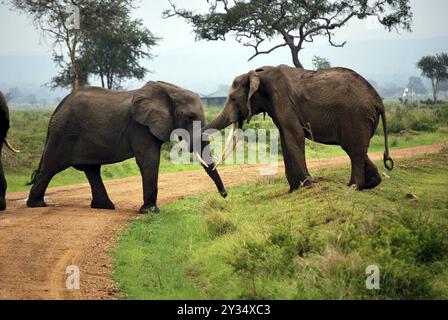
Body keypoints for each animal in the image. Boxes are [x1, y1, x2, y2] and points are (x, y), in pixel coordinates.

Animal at [27, 81, 228, 214]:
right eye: (189, 117)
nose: (225, 195)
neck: (169, 90)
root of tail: (57, 108)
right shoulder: (139, 127)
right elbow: (149, 160)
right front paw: (150, 212)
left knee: (92, 170)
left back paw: (105, 207)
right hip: (63, 133)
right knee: (50, 167)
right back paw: (36, 205)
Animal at [205, 63, 394, 191]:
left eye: (233, 99)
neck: (257, 73)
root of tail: (378, 100)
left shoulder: (282, 100)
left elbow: (294, 136)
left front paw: (309, 184)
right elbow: (285, 138)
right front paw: (294, 189)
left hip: (355, 116)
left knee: (353, 150)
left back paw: (353, 187)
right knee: (358, 150)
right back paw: (369, 183)